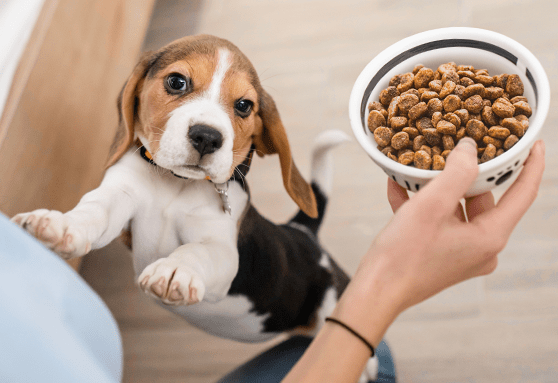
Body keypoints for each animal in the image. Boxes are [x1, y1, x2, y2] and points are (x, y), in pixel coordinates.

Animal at [13, 35, 378, 380]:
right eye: (177, 82)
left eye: (244, 105)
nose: (207, 136)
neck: (175, 186)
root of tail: (303, 231)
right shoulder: (121, 194)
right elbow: (95, 210)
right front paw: (61, 225)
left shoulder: (223, 250)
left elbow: (197, 251)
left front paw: (176, 270)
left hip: (332, 300)